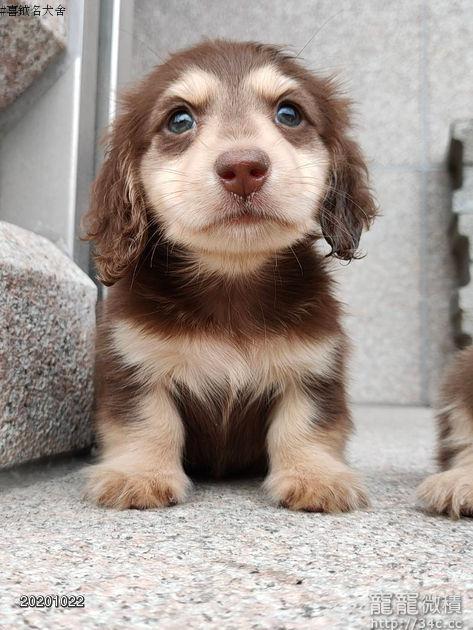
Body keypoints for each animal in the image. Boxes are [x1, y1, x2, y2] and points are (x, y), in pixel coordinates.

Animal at [83, 39, 377, 511]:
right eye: (179, 120)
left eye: (290, 113)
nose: (243, 168)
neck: (231, 279)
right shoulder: (135, 363)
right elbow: (148, 422)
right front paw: (139, 475)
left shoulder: (313, 368)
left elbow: (305, 425)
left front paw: (315, 477)